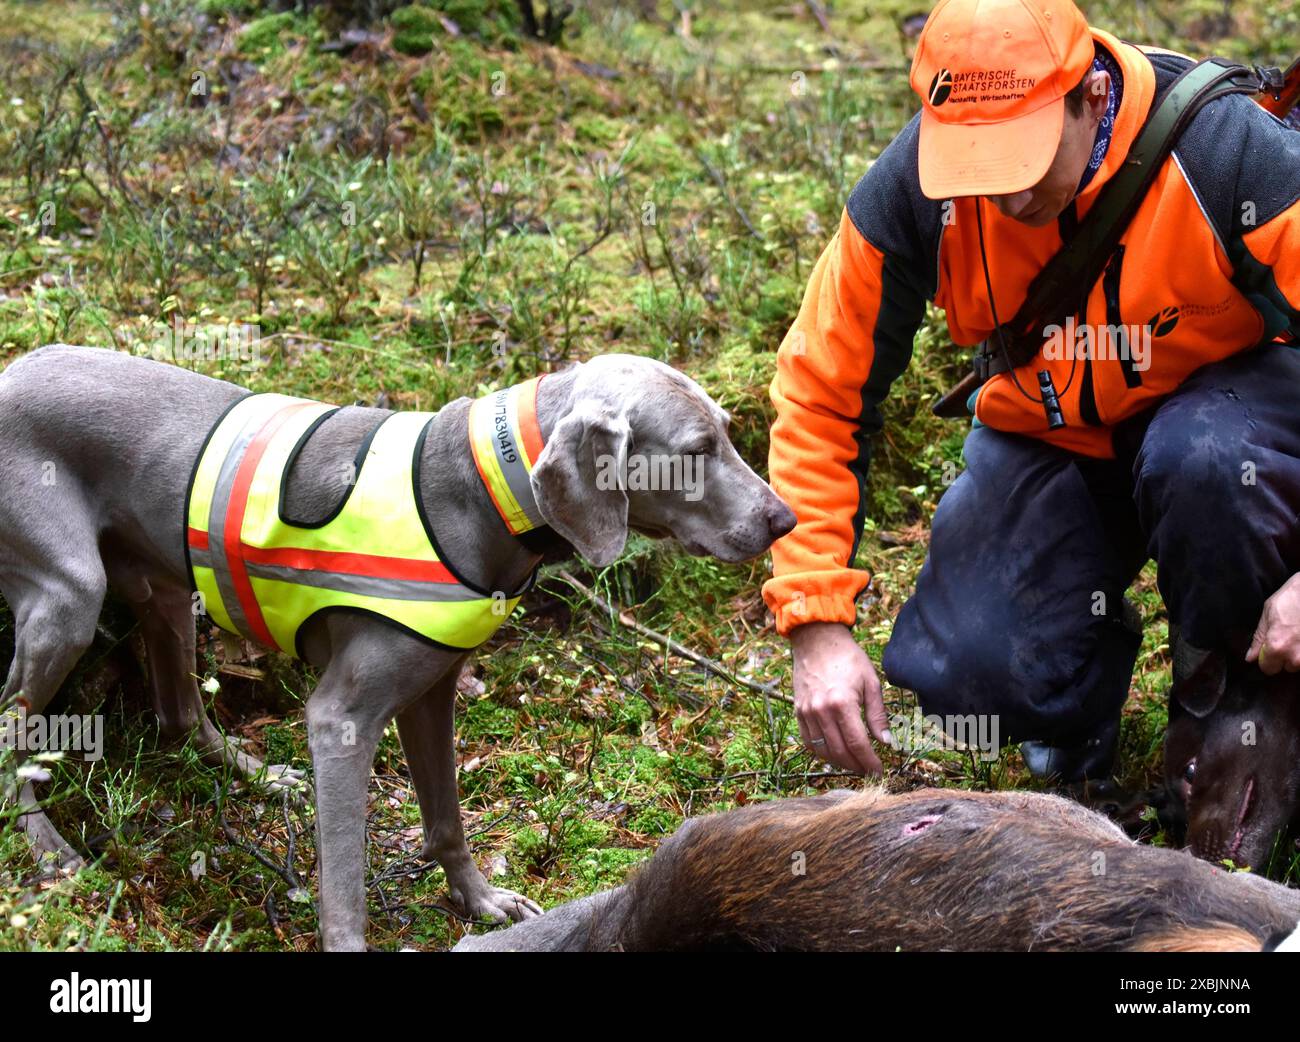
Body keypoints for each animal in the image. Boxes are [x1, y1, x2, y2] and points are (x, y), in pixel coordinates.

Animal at [0, 343, 795, 951]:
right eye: (696, 451)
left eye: (730, 431)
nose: (784, 519)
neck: (480, 484)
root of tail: (15, 367)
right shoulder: (342, 720)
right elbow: (345, 885)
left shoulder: (432, 691)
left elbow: (446, 820)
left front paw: (481, 899)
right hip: (70, 598)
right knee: (14, 729)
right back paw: (44, 848)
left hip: (163, 583)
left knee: (178, 714)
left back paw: (256, 773)